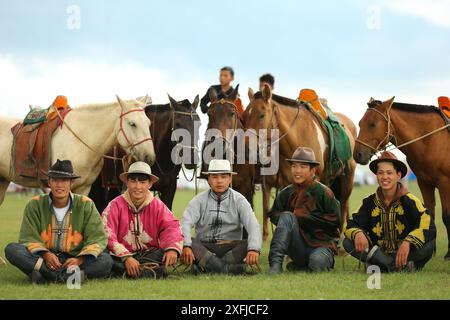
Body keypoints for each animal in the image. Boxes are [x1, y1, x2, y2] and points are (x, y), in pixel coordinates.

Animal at [356, 97, 450, 260]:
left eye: (372, 124)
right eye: (360, 123)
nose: (358, 154)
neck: (430, 139)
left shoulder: (444, 183)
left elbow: (446, 217)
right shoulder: (424, 182)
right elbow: (430, 214)